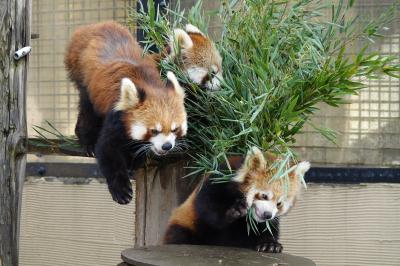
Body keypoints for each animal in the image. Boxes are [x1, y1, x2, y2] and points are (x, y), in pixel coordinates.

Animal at [64, 21, 188, 205]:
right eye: (154, 131)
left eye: (175, 129)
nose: (167, 146)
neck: (149, 85)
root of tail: (94, 26)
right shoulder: (116, 114)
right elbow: (107, 150)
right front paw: (121, 190)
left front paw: (133, 160)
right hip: (83, 78)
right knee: (88, 111)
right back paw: (87, 142)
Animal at [163, 148, 310, 254]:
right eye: (264, 196)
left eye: (279, 204)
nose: (267, 214)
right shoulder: (218, 178)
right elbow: (207, 207)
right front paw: (234, 210)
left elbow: (268, 228)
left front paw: (270, 244)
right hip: (185, 225)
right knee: (180, 235)